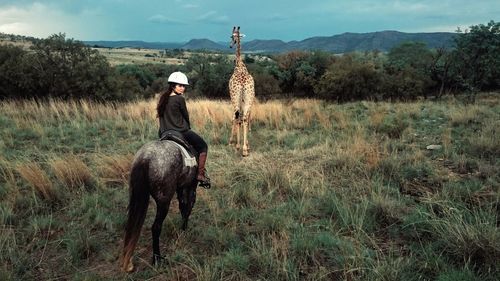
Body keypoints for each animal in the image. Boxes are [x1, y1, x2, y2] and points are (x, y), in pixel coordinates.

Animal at [120, 140, 198, 272]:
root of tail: (145, 158)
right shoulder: (190, 186)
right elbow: (187, 206)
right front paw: (184, 229)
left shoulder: (181, 187)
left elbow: (183, 206)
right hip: (164, 202)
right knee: (156, 227)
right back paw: (157, 259)